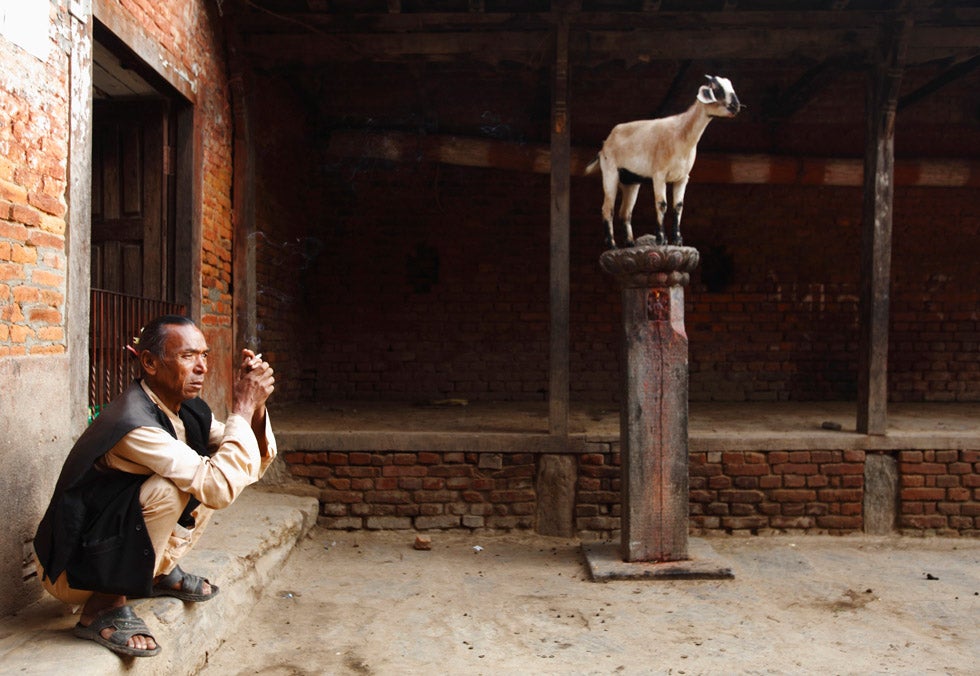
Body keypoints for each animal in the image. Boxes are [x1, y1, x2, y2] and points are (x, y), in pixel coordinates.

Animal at [580, 75, 744, 248]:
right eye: (717, 89)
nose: (736, 106)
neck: (681, 133)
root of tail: (605, 144)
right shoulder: (659, 175)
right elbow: (662, 204)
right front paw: (661, 239)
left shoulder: (682, 178)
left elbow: (678, 207)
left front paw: (677, 240)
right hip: (610, 172)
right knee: (607, 208)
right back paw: (612, 245)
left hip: (630, 182)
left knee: (625, 212)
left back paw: (630, 243)